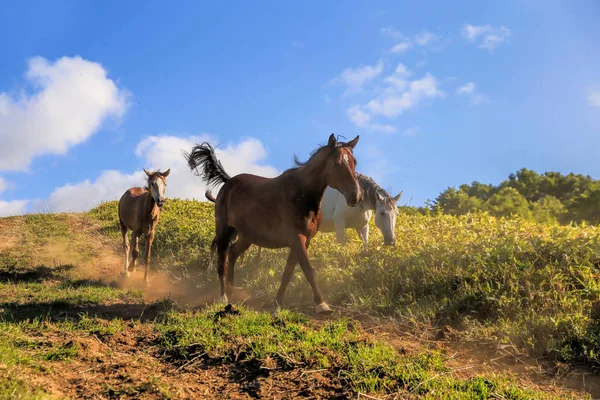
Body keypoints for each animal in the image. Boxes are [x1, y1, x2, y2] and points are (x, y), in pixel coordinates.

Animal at [184, 133, 360, 314]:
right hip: (224, 231)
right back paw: (223, 296)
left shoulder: (303, 240)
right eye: (336, 163)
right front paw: (321, 304)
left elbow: (288, 272)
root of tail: (228, 181)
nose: (356, 196)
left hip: (247, 236)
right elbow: (308, 269)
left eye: (354, 162)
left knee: (233, 253)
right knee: (222, 261)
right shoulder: (297, 238)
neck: (302, 195)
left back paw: (232, 290)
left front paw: (277, 302)